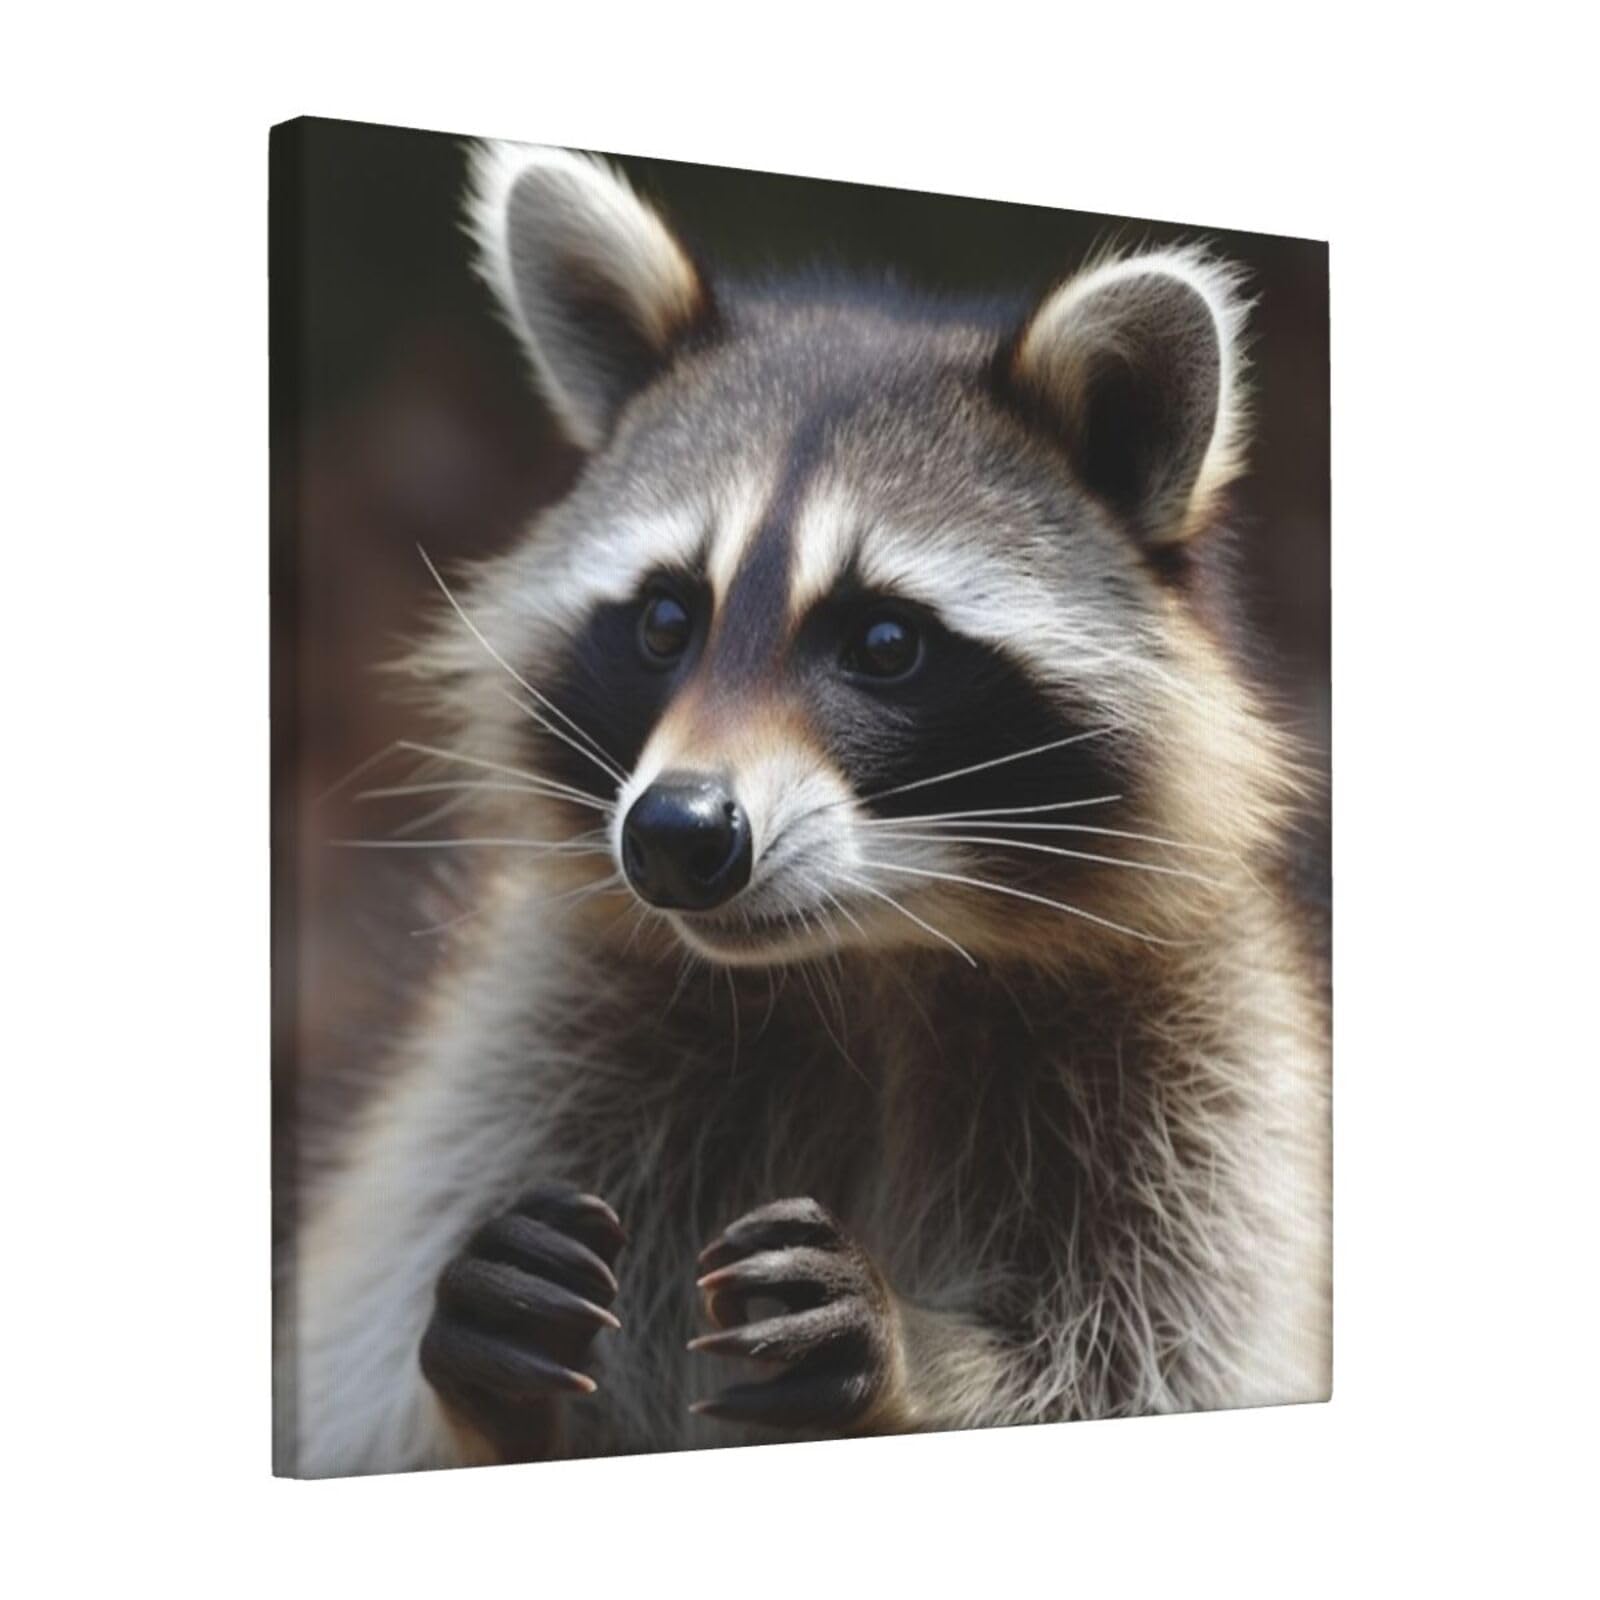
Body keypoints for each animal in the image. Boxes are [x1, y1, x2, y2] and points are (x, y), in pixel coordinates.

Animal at [282, 142, 1330, 1476]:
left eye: (884, 642)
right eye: (665, 619)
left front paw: (924, 1364)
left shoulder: (1204, 1083)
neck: (863, 959)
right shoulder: (536, 1039)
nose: (676, 836)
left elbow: (1158, 1348)